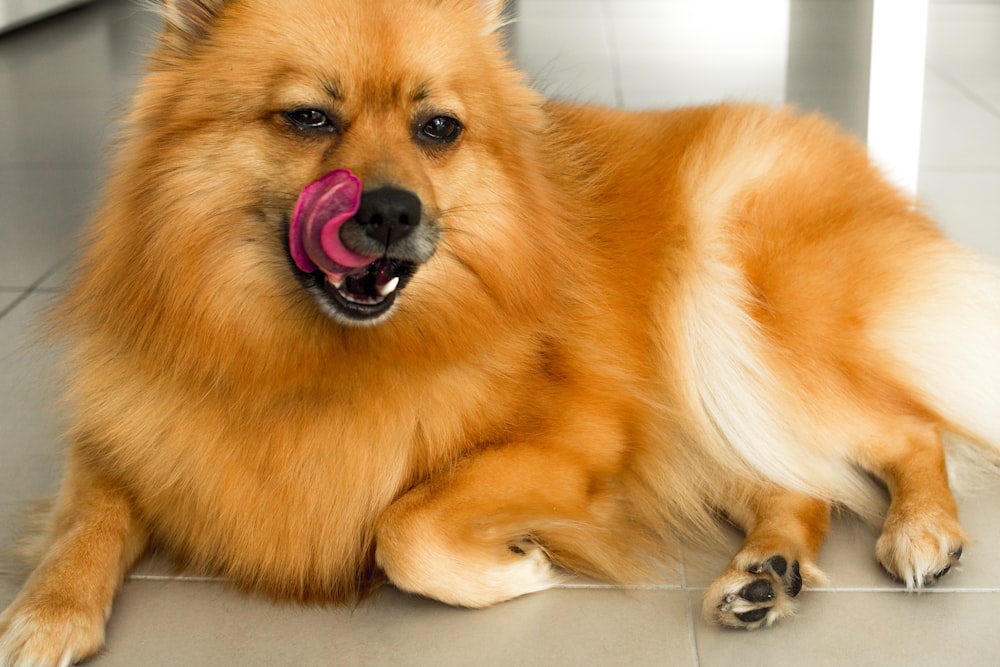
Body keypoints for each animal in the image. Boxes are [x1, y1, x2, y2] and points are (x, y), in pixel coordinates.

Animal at [1, 1, 1000, 664]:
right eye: (309, 117)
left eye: (438, 128)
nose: (391, 211)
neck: (301, 355)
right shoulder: (132, 430)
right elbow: (87, 518)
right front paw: (45, 614)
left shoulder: (575, 442)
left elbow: (403, 525)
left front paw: (516, 569)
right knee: (802, 485)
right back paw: (768, 569)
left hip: (737, 336)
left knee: (909, 429)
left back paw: (920, 529)